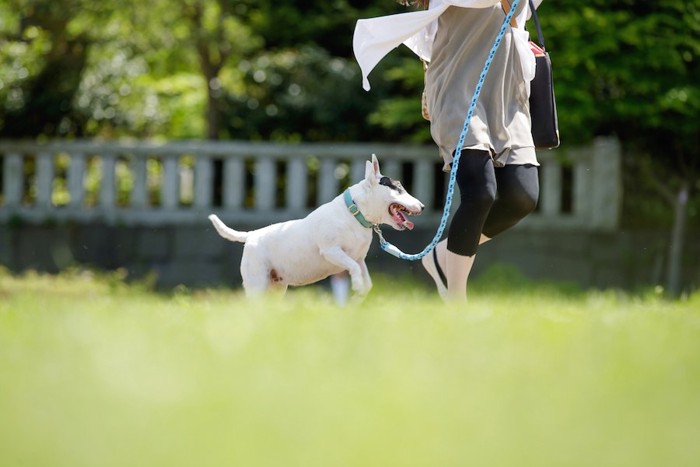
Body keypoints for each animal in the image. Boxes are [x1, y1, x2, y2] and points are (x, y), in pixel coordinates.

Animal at [208, 155, 424, 298]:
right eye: (398, 187)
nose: (422, 206)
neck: (353, 214)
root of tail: (251, 235)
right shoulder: (331, 251)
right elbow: (353, 267)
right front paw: (356, 285)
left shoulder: (358, 257)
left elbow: (365, 277)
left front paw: (361, 292)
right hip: (257, 282)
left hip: (276, 285)